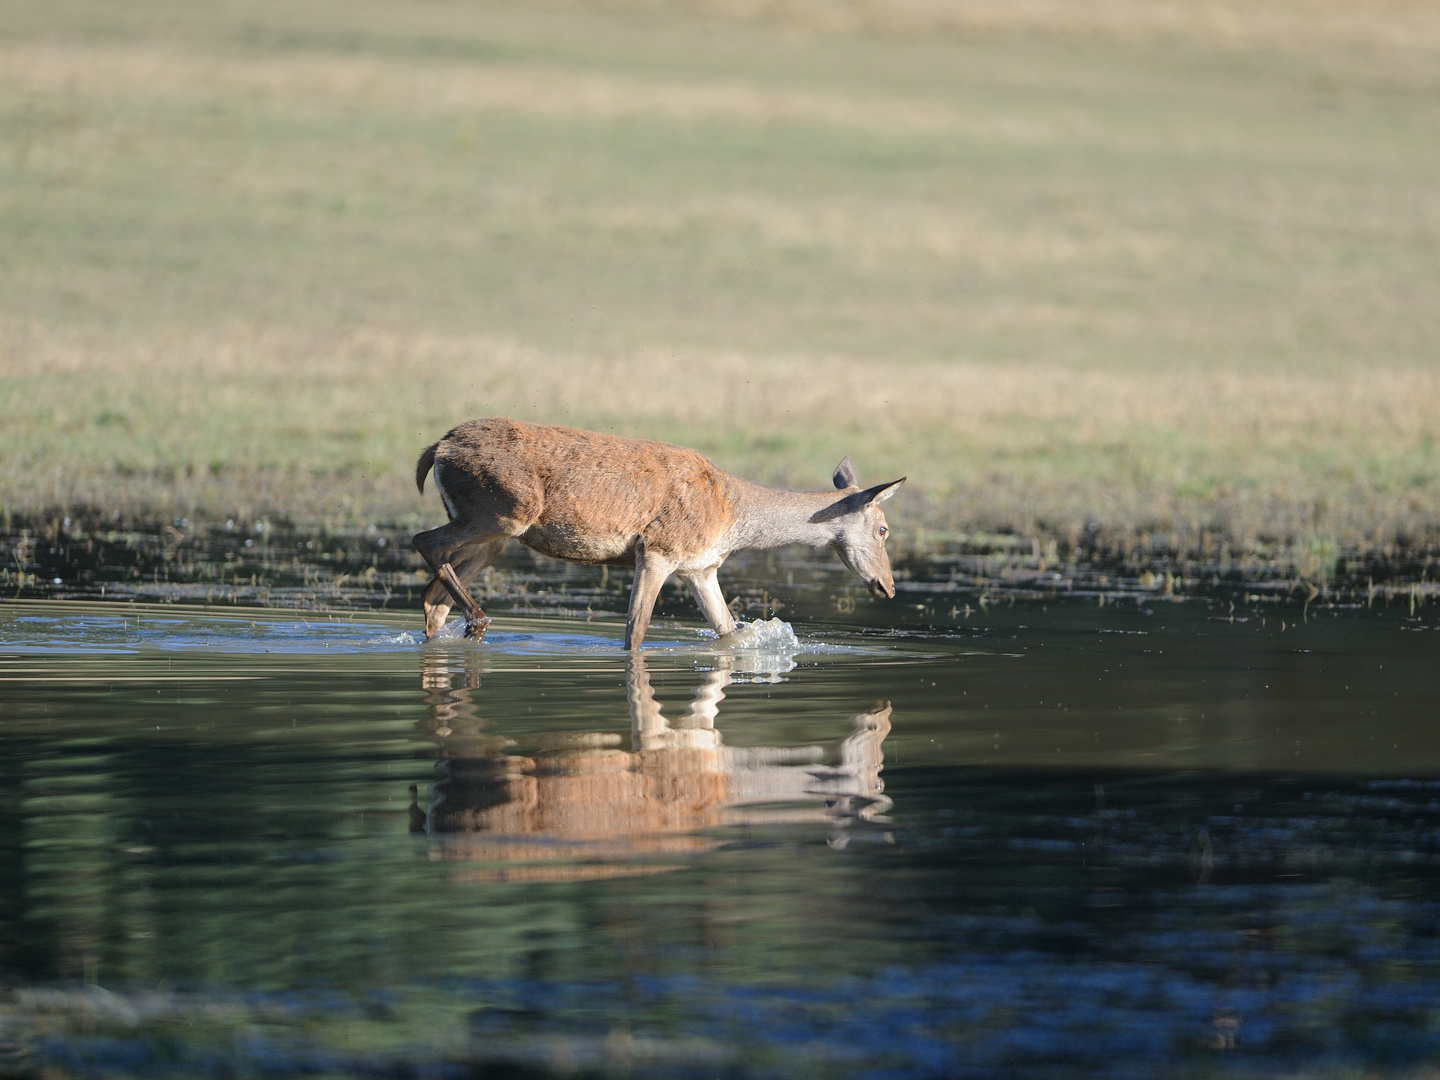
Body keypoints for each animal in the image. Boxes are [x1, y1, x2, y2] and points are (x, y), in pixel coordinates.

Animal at [411, 417, 898, 648]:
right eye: (883, 529)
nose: (888, 587)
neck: (732, 520)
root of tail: (437, 449)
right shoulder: (658, 550)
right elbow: (635, 632)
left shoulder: (700, 568)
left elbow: (729, 631)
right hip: (502, 512)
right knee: (424, 542)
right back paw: (478, 618)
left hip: (496, 533)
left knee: (433, 598)